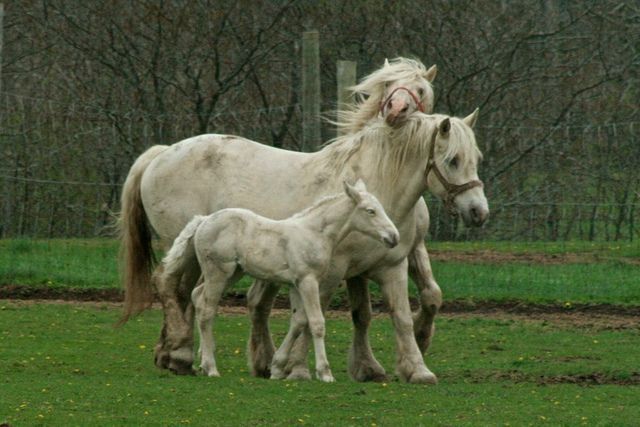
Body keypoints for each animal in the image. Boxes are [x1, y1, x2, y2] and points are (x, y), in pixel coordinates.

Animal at [157, 180, 399, 382]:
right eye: (370, 211)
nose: (394, 237)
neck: (314, 233)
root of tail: (204, 220)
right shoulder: (308, 281)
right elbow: (317, 323)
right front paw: (324, 372)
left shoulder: (296, 284)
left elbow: (299, 322)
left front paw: (277, 367)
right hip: (218, 272)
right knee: (207, 311)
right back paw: (211, 368)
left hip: (233, 273)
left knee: (198, 297)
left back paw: (202, 362)